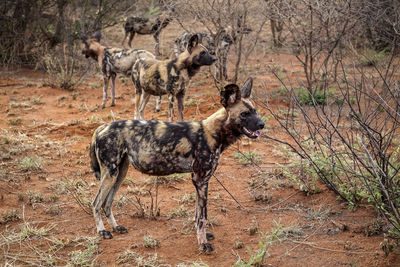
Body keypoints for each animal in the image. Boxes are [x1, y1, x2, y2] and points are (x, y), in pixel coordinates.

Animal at [90, 77, 266, 253]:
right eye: (244, 114)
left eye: (255, 111)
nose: (262, 124)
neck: (214, 133)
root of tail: (102, 127)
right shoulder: (201, 180)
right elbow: (202, 217)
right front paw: (203, 243)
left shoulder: (199, 182)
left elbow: (197, 215)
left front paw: (202, 236)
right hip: (110, 174)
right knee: (97, 203)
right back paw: (102, 231)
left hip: (120, 174)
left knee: (107, 203)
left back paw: (115, 227)